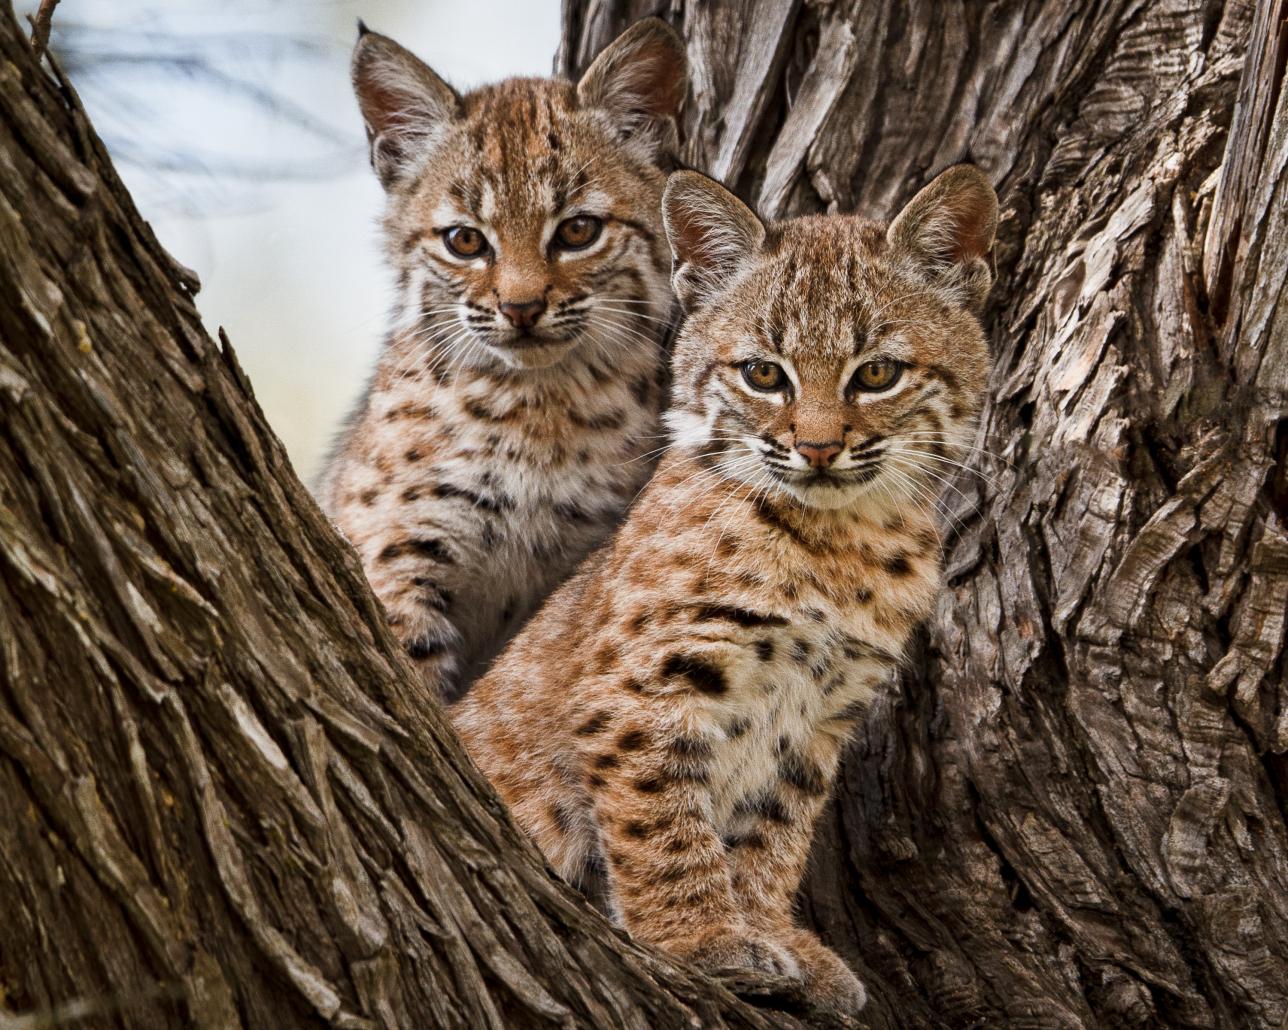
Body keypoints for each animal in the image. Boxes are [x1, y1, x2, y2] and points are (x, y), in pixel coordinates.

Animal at [448, 164, 999, 1009]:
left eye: (877, 374)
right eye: (763, 375)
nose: (817, 449)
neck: (841, 539)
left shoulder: (820, 717)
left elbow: (774, 834)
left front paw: (773, 934)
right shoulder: (644, 687)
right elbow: (662, 821)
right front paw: (701, 940)